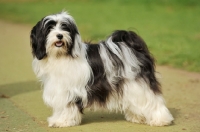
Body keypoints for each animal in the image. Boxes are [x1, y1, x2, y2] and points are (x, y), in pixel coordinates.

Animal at [29, 11, 173, 128]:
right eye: (49, 28)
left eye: (65, 28)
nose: (59, 35)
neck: (61, 56)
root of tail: (132, 47)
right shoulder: (59, 88)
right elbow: (61, 107)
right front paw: (58, 119)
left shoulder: (70, 90)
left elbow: (67, 106)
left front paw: (63, 122)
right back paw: (137, 117)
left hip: (138, 84)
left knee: (152, 100)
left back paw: (161, 120)